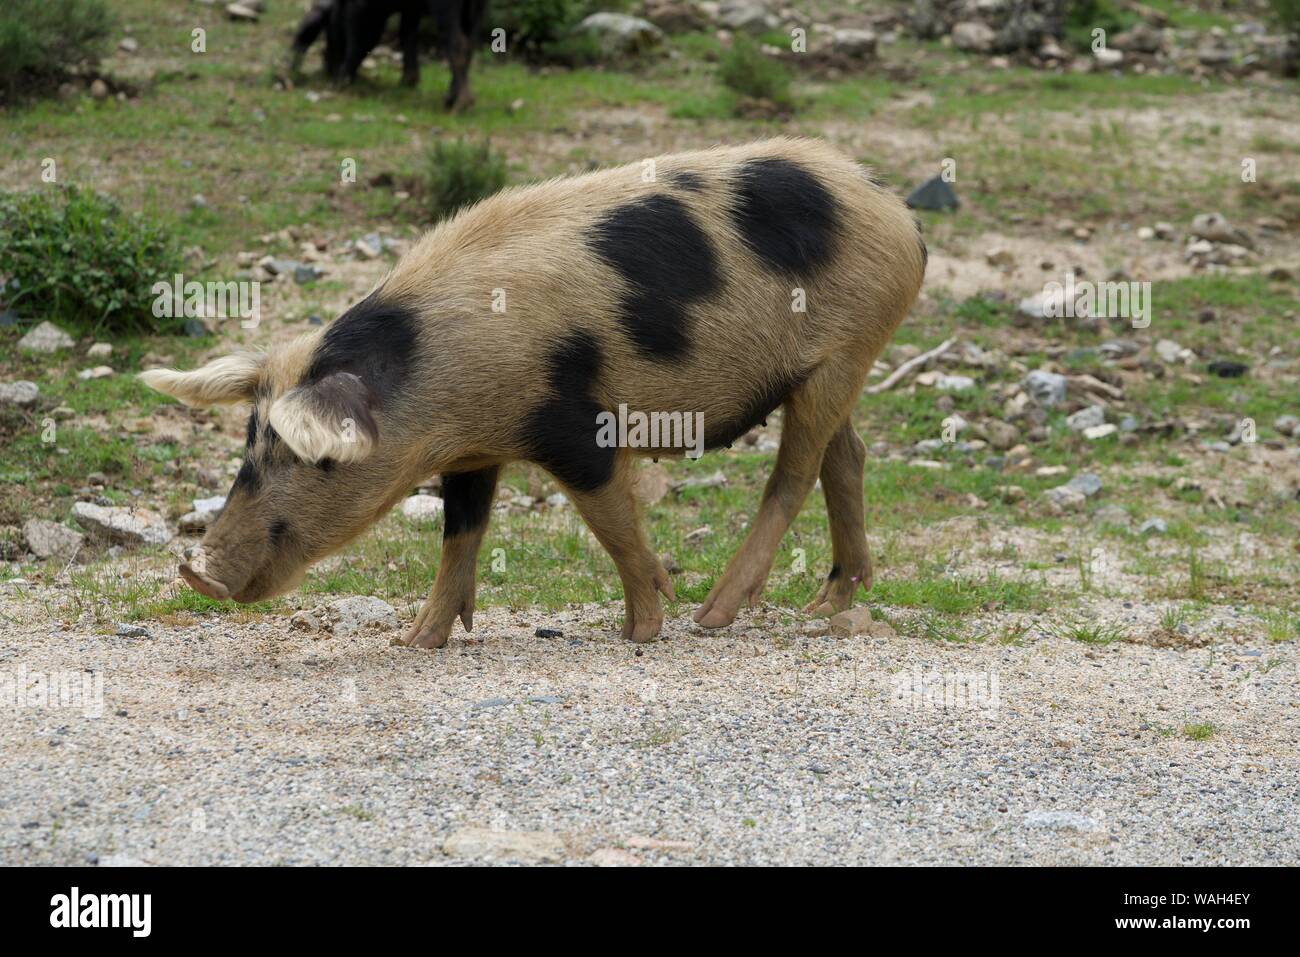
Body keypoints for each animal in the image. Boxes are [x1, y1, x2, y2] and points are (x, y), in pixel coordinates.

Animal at [142, 138, 925, 650]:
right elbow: (461, 533)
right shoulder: (471, 452)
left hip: (846, 350)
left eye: (318, 460)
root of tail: (900, 211)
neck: (438, 384)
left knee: (792, 474)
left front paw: (642, 631)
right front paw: (415, 641)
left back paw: (714, 615)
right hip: (828, 367)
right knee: (846, 457)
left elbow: (613, 524)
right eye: (249, 446)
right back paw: (828, 602)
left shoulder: (576, 428)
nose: (200, 571)